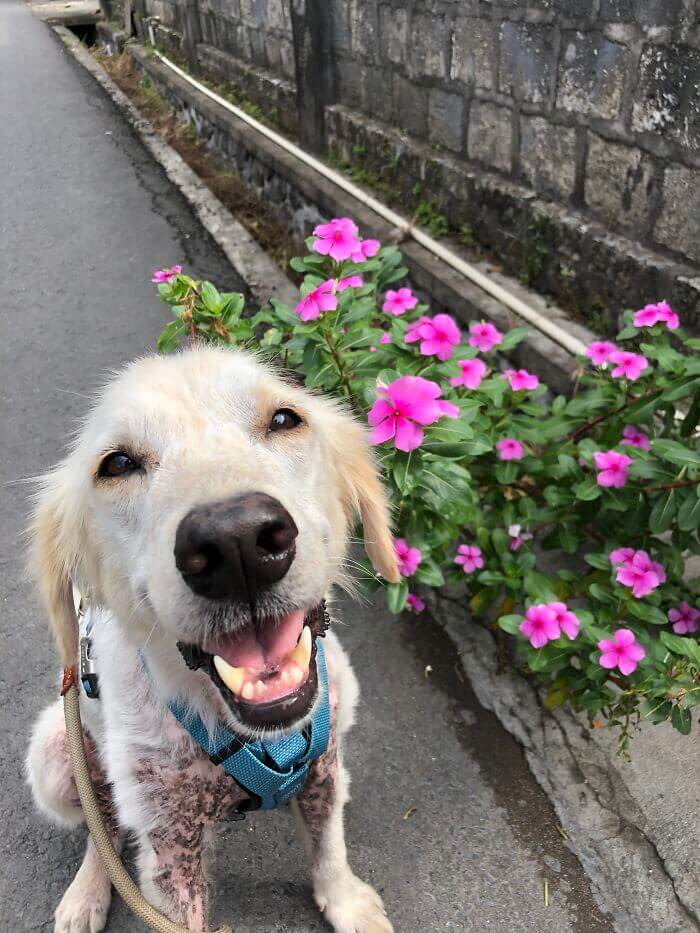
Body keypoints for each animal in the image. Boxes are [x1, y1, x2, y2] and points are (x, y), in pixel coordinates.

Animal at [26, 348, 400, 932]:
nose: (236, 541)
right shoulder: (168, 840)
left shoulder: (327, 761)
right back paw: (87, 892)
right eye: (117, 464)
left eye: (285, 419)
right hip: (55, 756)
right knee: (101, 825)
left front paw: (346, 902)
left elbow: (329, 847)